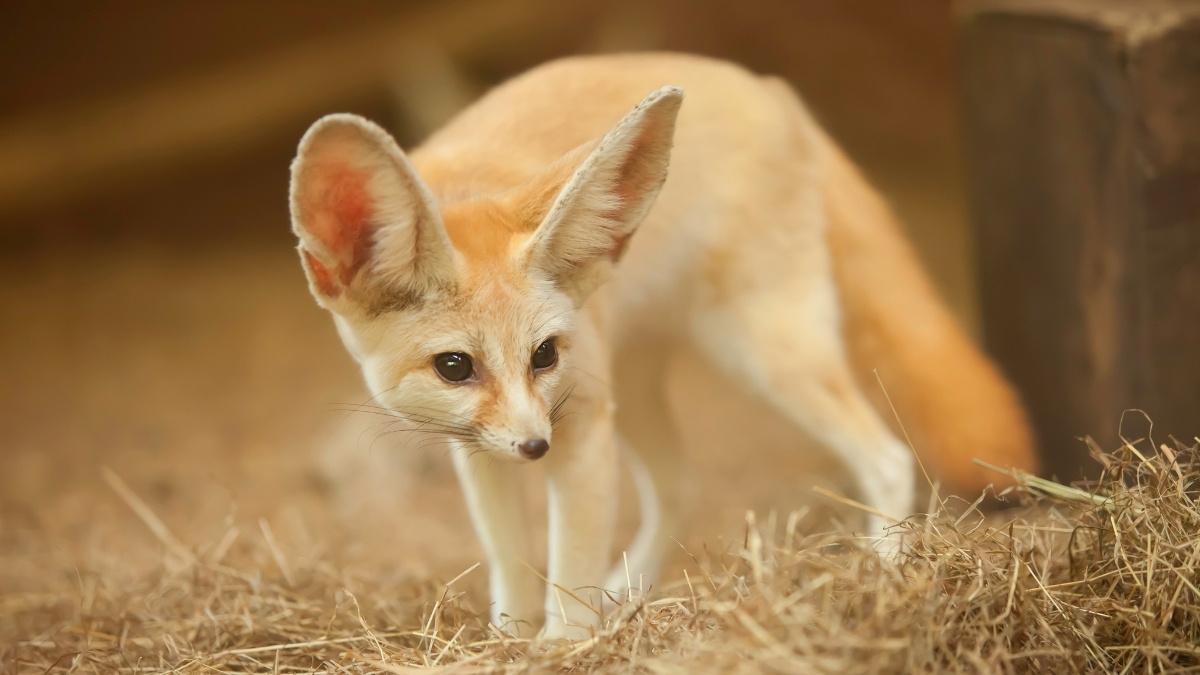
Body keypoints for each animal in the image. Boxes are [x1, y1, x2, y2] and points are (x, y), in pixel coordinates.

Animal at [288, 53, 1038, 639]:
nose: (535, 447)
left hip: (767, 354)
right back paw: (628, 595)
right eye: (454, 367)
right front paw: (511, 639)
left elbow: (570, 566)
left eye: (543, 355)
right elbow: (510, 562)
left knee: (885, 455)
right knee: (680, 484)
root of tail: (770, 86)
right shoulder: (477, 449)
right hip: (639, 386)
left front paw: (563, 646)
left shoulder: (582, 429)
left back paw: (885, 578)